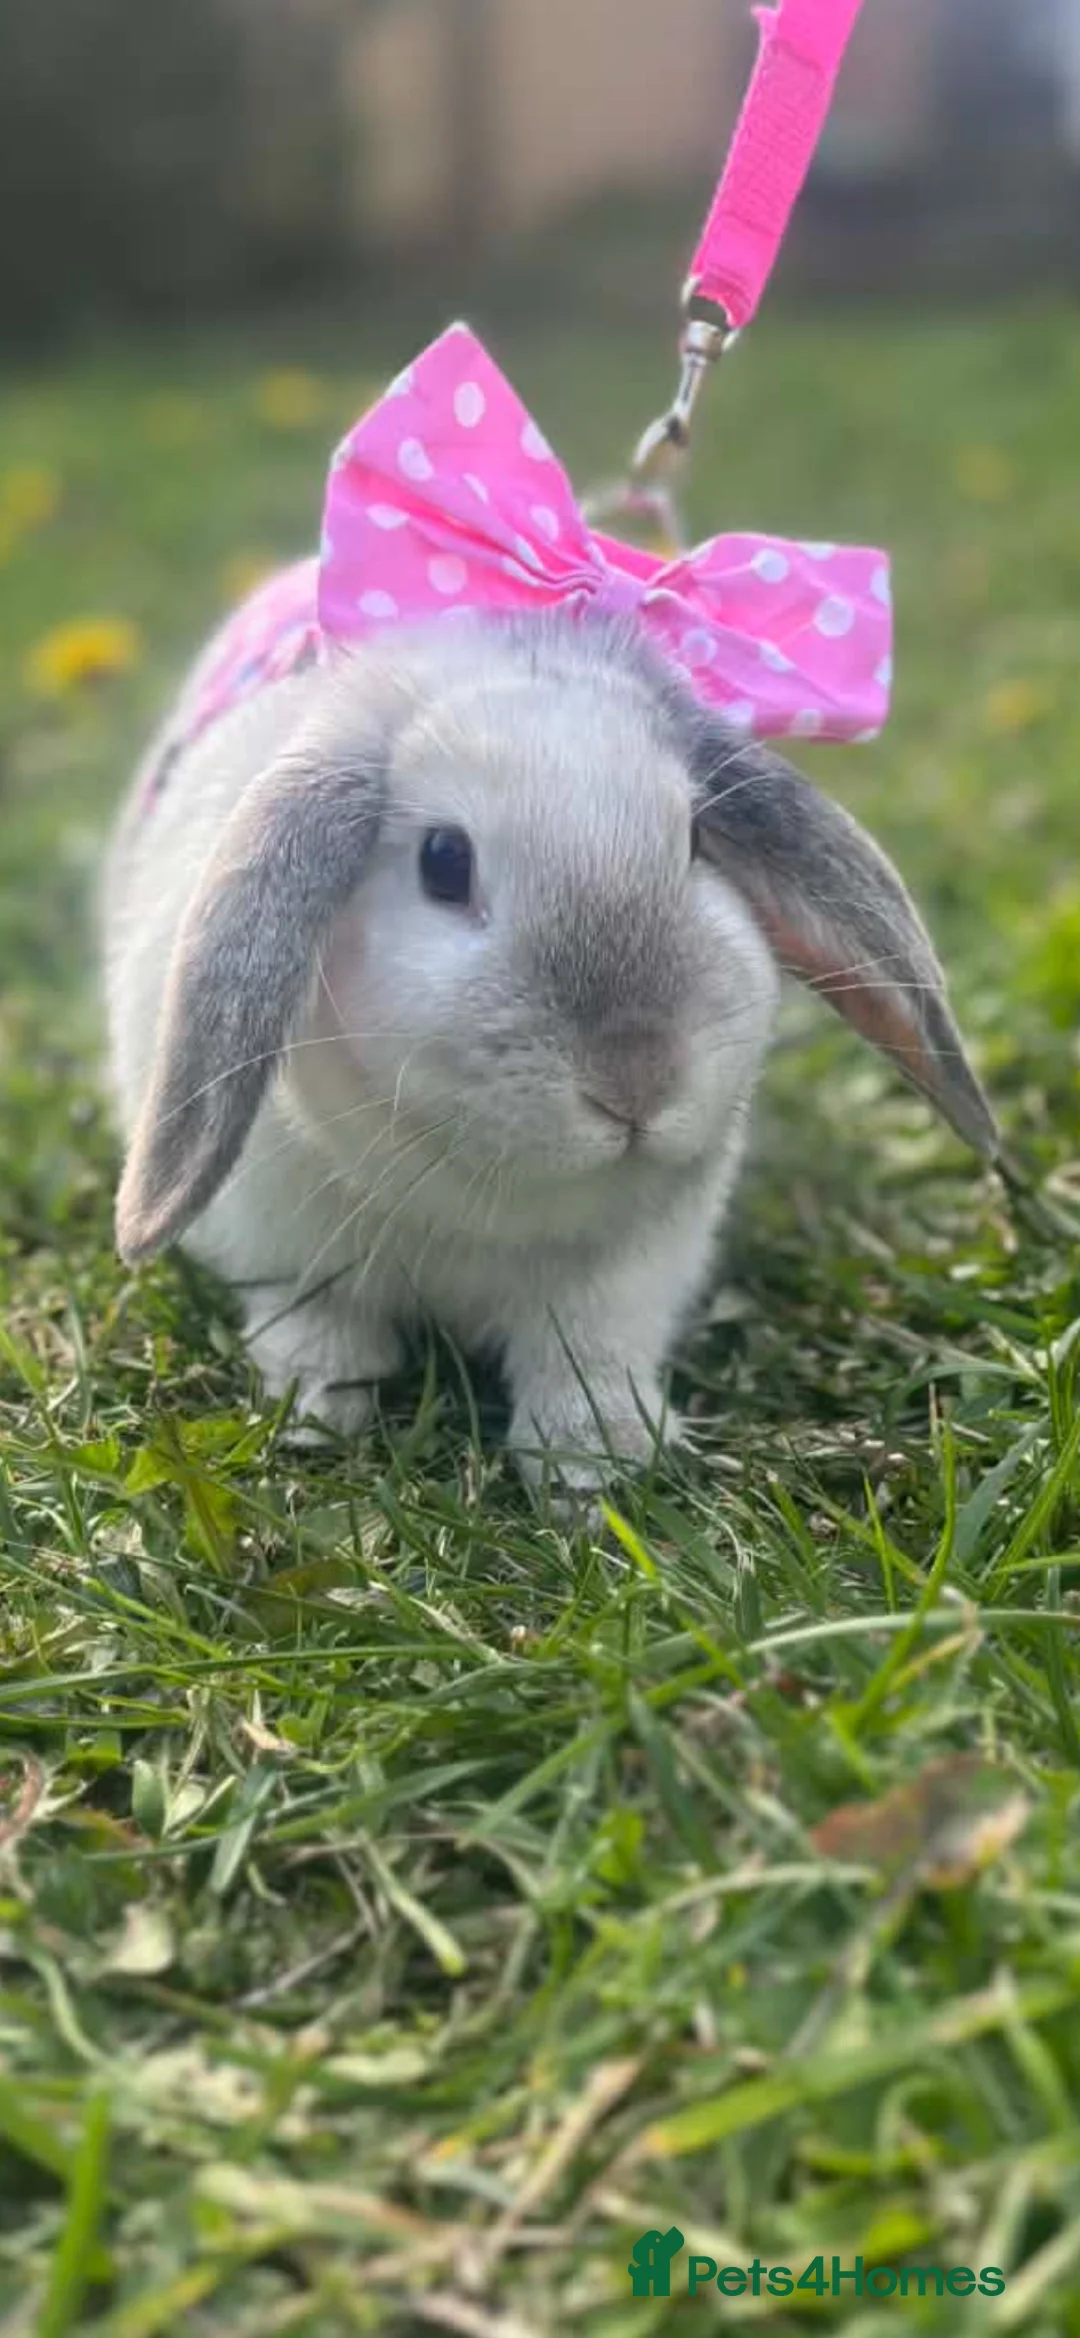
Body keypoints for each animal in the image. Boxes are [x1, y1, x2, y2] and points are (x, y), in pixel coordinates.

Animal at [104, 605, 997, 1491]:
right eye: (443, 860)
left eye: (697, 839)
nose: (637, 1083)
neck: (485, 1192)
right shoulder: (283, 1251)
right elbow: (317, 1325)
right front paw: (317, 1411)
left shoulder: (630, 1271)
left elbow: (588, 1351)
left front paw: (596, 1461)